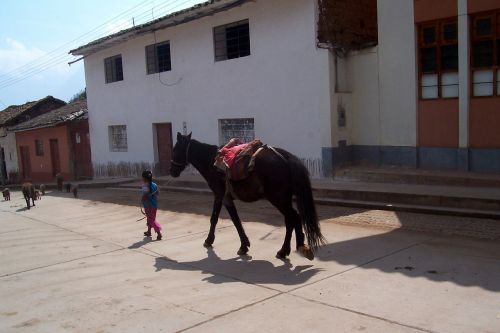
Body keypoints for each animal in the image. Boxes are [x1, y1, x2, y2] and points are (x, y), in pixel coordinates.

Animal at [170, 132, 326, 260]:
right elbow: (215, 219)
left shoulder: (223, 196)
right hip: (284, 199)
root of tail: (284, 157)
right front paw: (210, 240)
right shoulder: (219, 197)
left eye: (175, 150)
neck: (211, 161)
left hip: (279, 199)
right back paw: (287, 250)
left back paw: (292, 248)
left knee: (293, 218)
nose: (172, 171)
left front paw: (242, 246)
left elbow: (234, 221)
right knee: (291, 220)